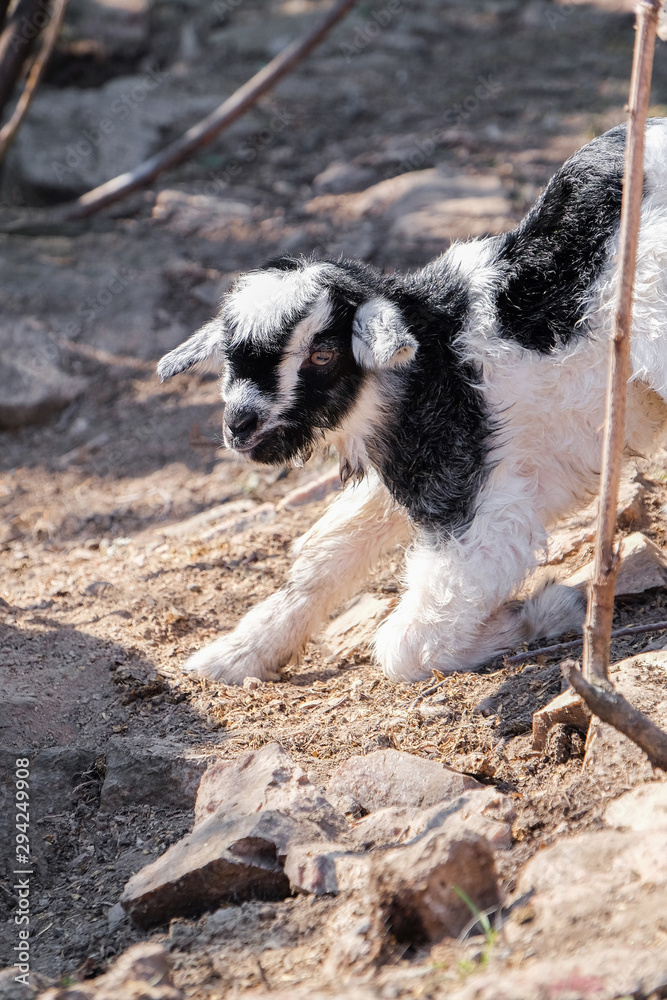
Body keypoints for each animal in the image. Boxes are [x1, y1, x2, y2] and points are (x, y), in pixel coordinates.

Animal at [158, 121, 667, 688]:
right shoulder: (408, 472)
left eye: (323, 353)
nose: (240, 424)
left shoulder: (477, 500)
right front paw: (237, 653)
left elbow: (405, 646)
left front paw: (539, 613)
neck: (429, 365)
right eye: (230, 355)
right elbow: (324, 554)